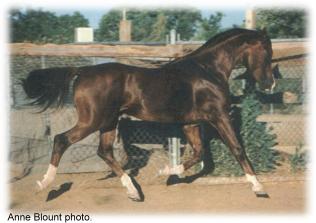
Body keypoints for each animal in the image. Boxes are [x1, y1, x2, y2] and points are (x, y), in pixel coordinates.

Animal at [22, 27, 274, 200]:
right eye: (266, 51)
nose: (269, 84)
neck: (208, 71)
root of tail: (83, 71)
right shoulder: (219, 116)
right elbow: (237, 148)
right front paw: (259, 187)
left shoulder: (191, 123)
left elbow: (199, 153)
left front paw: (167, 172)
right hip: (92, 120)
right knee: (61, 139)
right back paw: (45, 184)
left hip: (108, 122)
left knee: (104, 151)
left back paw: (133, 191)